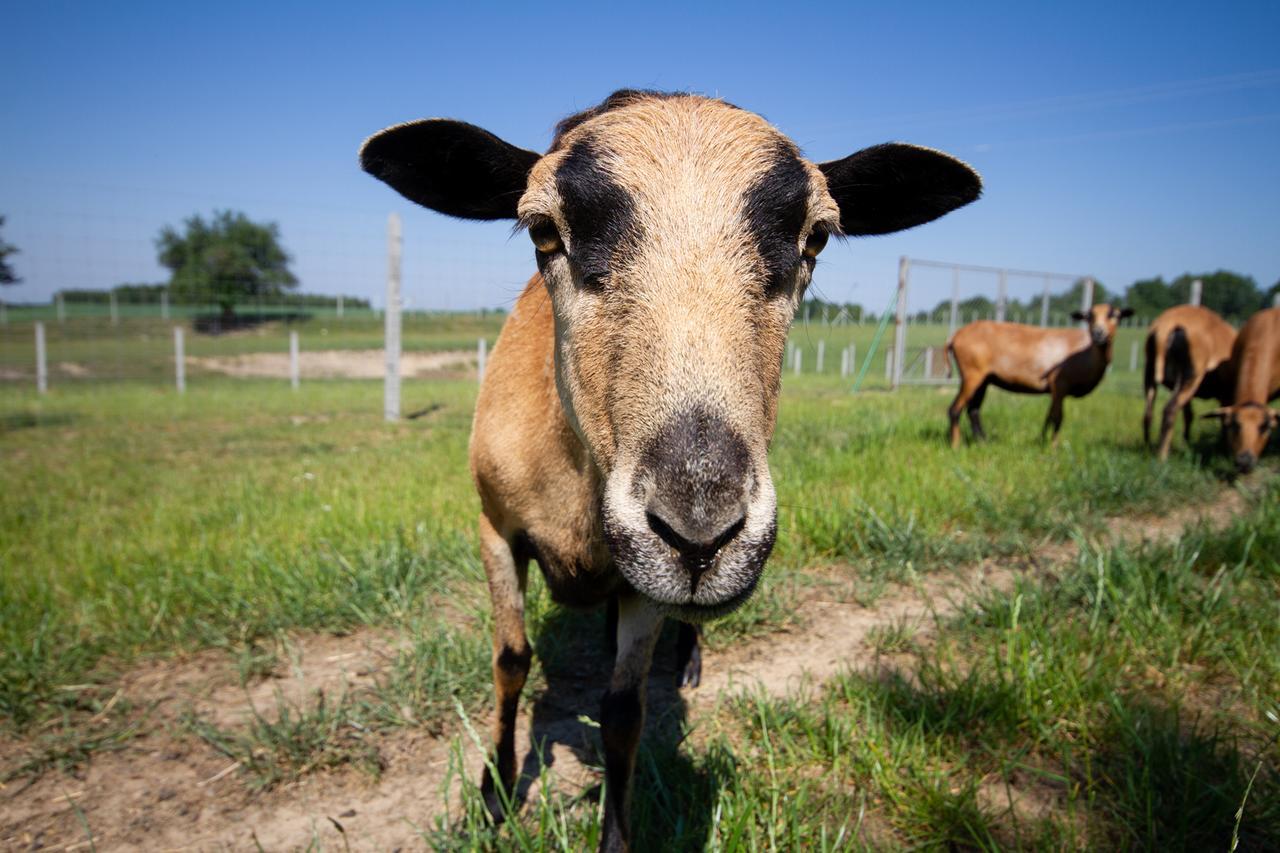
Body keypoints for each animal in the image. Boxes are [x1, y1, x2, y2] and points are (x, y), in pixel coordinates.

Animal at [360, 89, 977, 845]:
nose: (700, 526)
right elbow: (510, 661)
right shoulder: (493, 527)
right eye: (543, 230)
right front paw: (496, 793)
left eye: (816, 239)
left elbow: (624, 711)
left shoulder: (646, 586)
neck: (578, 492)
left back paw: (687, 660)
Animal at [942, 306, 1131, 450]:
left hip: (984, 379)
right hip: (972, 374)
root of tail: (954, 337)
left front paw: (1041, 441)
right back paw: (956, 445)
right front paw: (1053, 448)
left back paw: (983, 442)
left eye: (1115, 314)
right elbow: (1058, 418)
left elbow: (1049, 417)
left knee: (973, 411)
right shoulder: (1059, 385)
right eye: (1089, 316)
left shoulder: (1055, 391)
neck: (1085, 353)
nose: (1099, 333)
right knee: (954, 409)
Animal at [1146, 303, 1233, 458]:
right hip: (1192, 375)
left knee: (1148, 414)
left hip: (1151, 372)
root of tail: (1165, 325)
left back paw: (1149, 447)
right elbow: (1225, 420)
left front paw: (1185, 444)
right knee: (1170, 410)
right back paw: (1162, 456)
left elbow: (1189, 415)